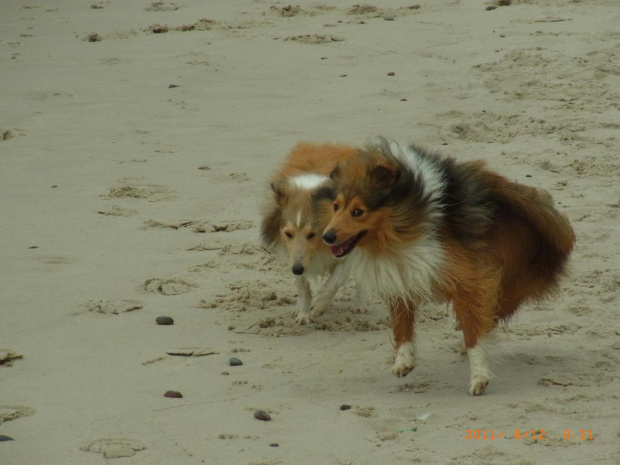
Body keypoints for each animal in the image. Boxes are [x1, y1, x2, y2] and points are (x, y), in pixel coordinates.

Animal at [262, 141, 358, 322]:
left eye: (312, 234)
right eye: (288, 234)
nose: (297, 269)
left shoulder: (349, 252)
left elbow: (334, 281)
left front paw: (319, 305)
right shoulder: (293, 255)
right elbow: (302, 286)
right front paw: (303, 314)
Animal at [320, 136, 576, 394]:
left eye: (358, 211)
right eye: (336, 206)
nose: (327, 237)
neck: (410, 217)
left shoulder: (471, 279)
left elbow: (473, 331)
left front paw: (479, 375)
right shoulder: (403, 272)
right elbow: (402, 325)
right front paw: (404, 360)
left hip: (512, 285)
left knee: (491, 315)